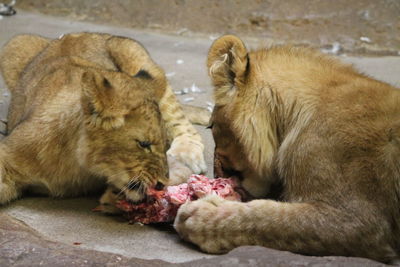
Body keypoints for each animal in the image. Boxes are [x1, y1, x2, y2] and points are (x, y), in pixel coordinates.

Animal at [0, 33, 206, 211]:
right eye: (143, 144)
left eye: (164, 144)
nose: (162, 184)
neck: (76, 164)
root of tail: (77, 34)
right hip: (14, 45)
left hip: (139, 58)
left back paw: (187, 153)